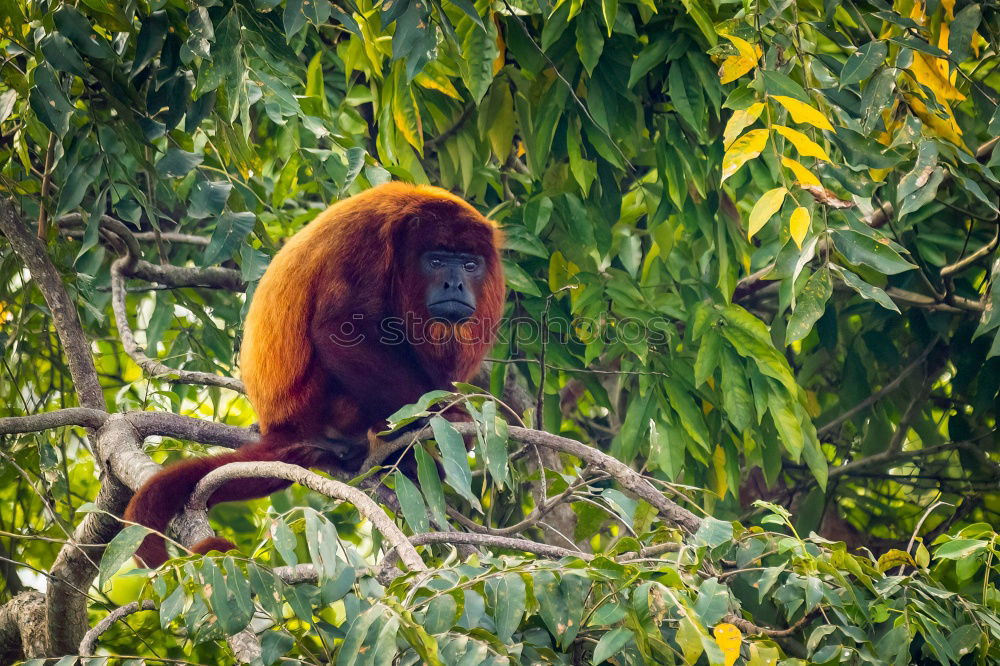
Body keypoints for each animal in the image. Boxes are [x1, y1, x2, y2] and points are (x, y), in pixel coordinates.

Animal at [121, 183, 504, 564]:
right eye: (435, 260)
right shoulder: (366, 243)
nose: (455, 285)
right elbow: (338, 331)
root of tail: (283, 429)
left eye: (470, 264)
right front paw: (450, 415)